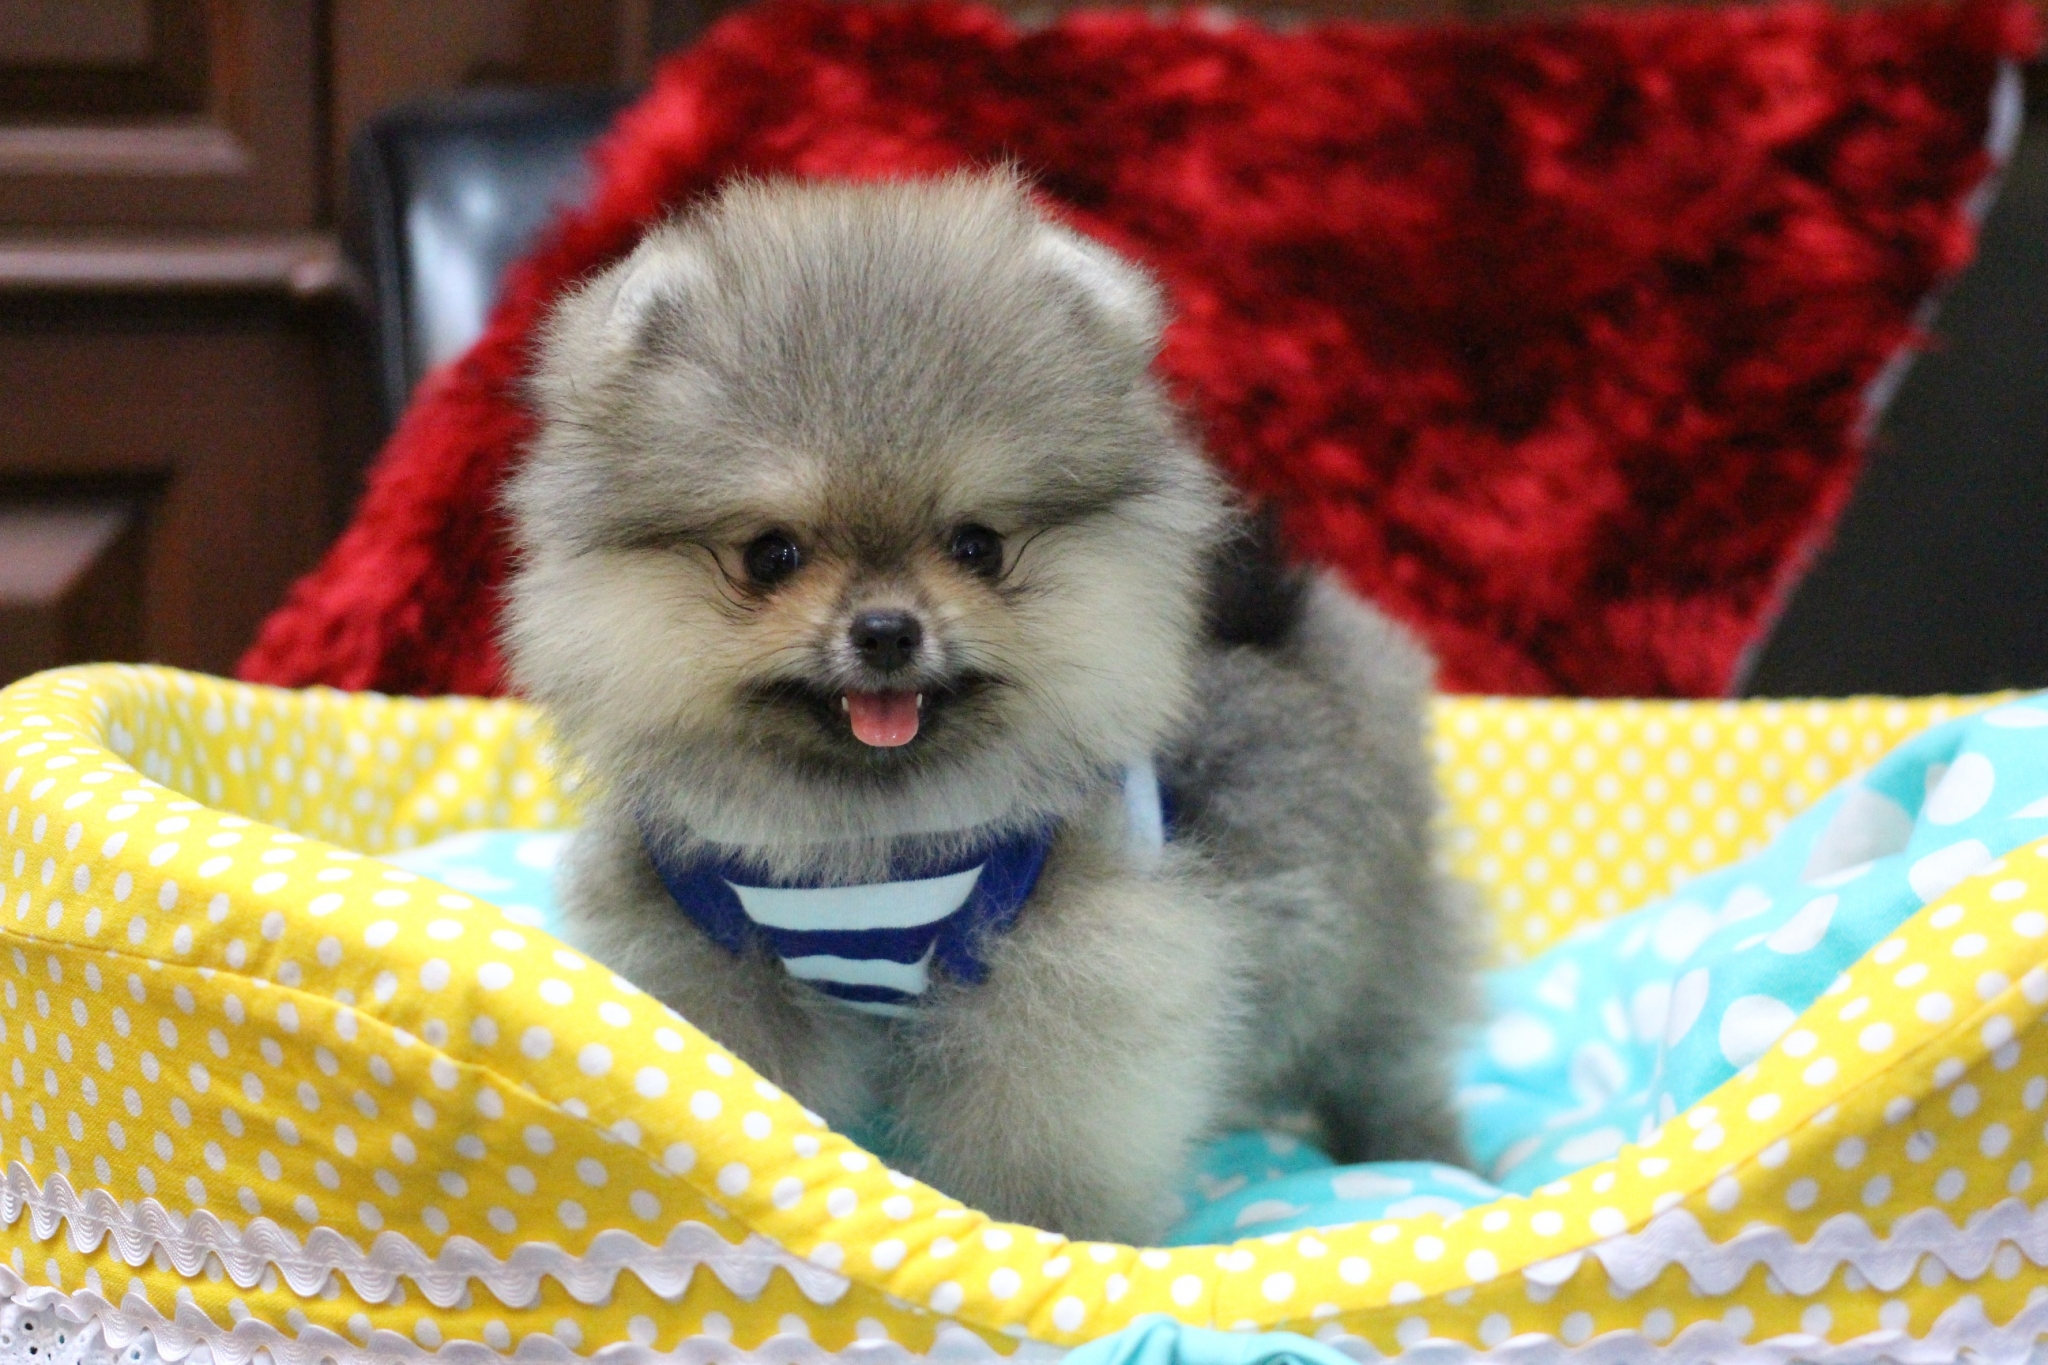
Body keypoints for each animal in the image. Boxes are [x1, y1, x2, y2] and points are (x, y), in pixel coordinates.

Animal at [502, 172, 1479, 1244]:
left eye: (977, 544)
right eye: (771, 554)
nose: (887, 629)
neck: (864, 845)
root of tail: (1273, 609)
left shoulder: (1059, 976)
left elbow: (1040, 1132)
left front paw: (1036, 1238)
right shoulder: (713, 956)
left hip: (1366, 924)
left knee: (1382, 1041)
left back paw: (1421, 1149)